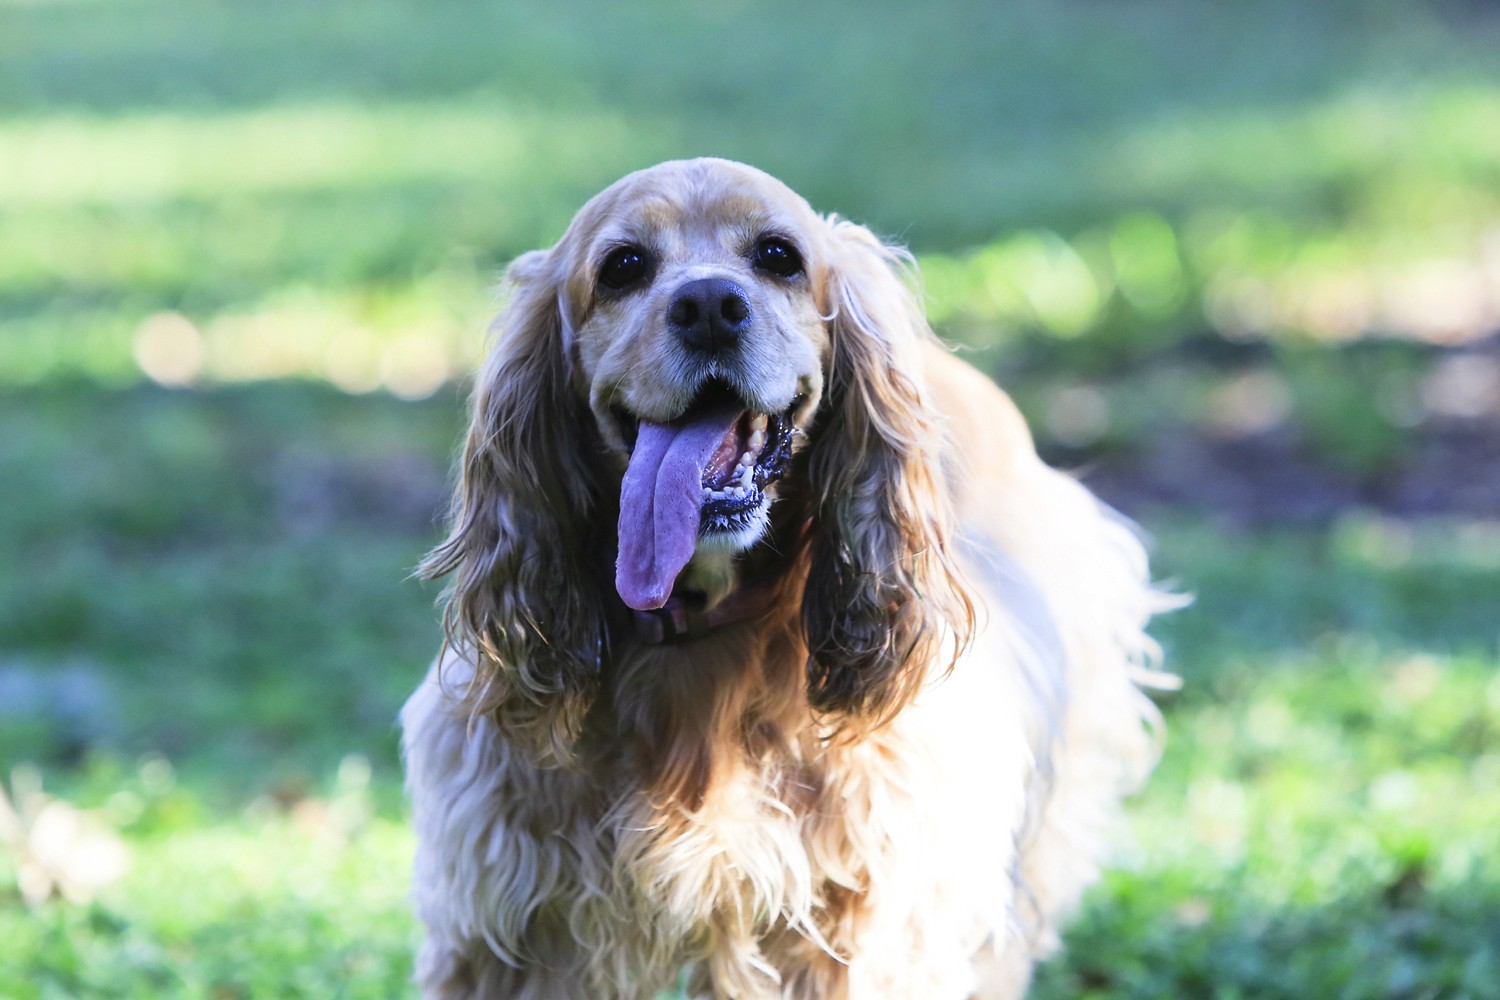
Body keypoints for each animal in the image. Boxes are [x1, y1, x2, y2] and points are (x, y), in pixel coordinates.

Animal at [401, 158, 1173, 999]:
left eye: (778, 256)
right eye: (623, 267)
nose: (709, 306)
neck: (697, 630)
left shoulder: (860, 918)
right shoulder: (518, 919)